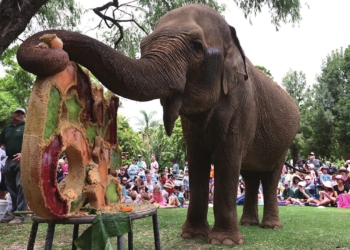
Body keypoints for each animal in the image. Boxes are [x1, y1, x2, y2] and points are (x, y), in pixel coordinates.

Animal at [17, 3, 300, 244]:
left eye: (196, 46)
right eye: (143, 45)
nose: (51, 45)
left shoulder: (241, 107)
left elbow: (227, 160)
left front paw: (224, 242)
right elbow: (197, 161)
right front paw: (192, 236)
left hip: (285, 142)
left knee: (270, 177)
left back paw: (270, 226)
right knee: (251, 177)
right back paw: (249, 223)